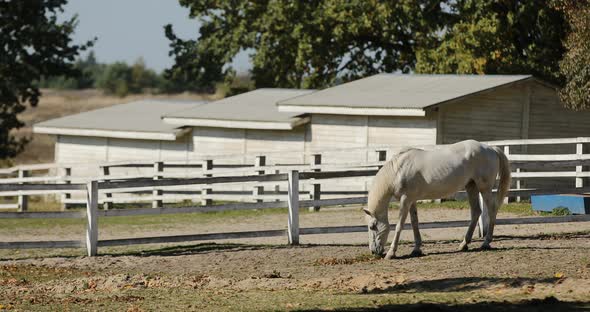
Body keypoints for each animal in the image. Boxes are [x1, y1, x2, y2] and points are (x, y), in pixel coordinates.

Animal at [364, 140, 512, 260]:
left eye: (372, 226)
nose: (373, 251)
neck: (398, 170)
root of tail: (490, 148)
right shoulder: (411, 200)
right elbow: (414, 222)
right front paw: (416, 249)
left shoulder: (405, 200)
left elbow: (400, 225)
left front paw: (391, 253)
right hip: (471, 187)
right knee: (476, 212)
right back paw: (463, 244)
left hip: (484, 188)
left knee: (492, 210)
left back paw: (486, 243)